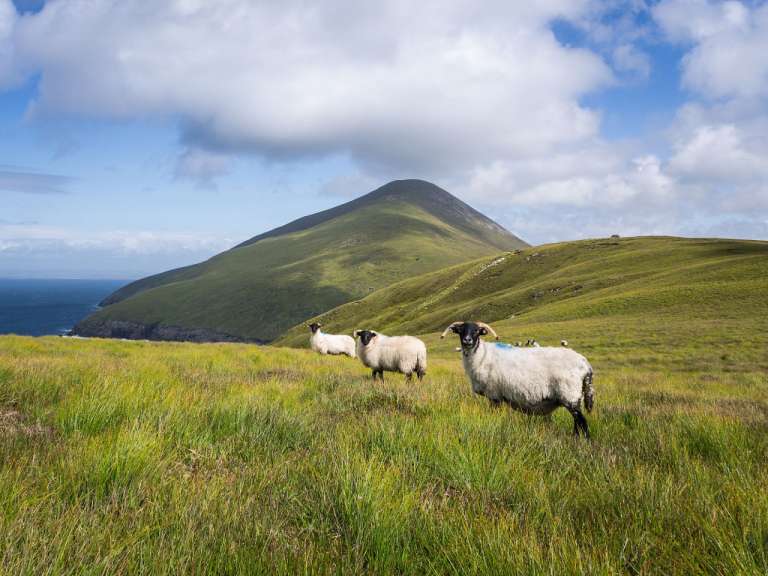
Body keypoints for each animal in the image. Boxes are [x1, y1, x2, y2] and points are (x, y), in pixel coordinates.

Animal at [441, 321, 595, 438]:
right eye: (461, 330)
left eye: (477, 331)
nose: (467, 340)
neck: (482, 355)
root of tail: (585, 364)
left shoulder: (494, 395)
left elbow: (494, 414)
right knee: (578, 423)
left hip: (570, 395)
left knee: (581, 422)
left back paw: (582, 441)